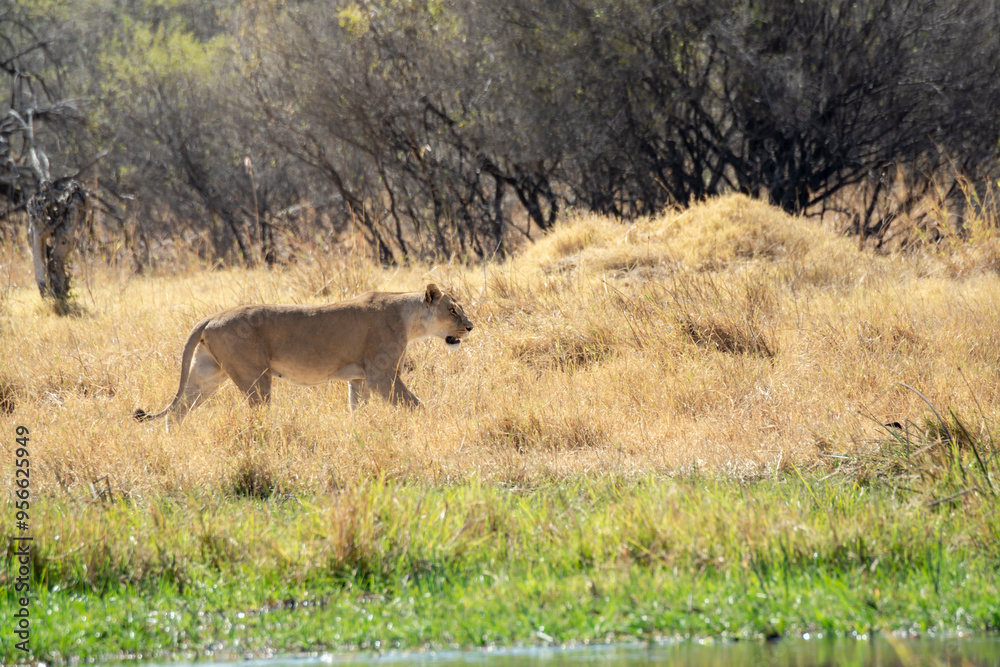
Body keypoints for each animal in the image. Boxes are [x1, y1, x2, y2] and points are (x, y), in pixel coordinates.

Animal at [134, 284, 473, 424]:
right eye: (453, 310)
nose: (470, 327)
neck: (409, 318)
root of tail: (212, 317)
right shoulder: (382, 376)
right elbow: (415, 405)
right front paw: (430, 426)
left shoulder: (360, 380)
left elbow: (357, 411)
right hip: (255, 377)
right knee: (257, 412)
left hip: (206, 376)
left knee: (177, 412)